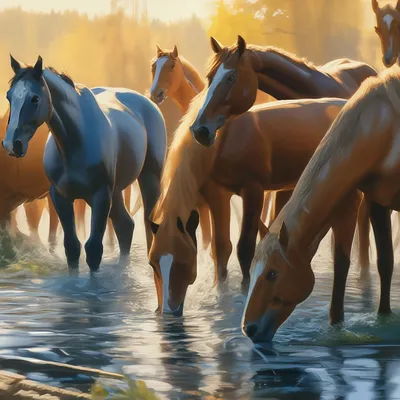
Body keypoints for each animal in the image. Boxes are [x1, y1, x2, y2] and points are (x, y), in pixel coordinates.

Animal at [148, 90, 346, 316]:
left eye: (183, 262)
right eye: (152, 263)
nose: (168, 312)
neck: (223, 139)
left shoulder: (253, 191)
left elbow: (245, 247)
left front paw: (245, 290)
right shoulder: (218, 196)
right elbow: (221, 247)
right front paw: (220, 291)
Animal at [241, 66, 400, 344]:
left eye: (272, 273)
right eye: (253, 269)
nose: (249, 329)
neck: (382, 127)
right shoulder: (377, 202)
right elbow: (383, 262)